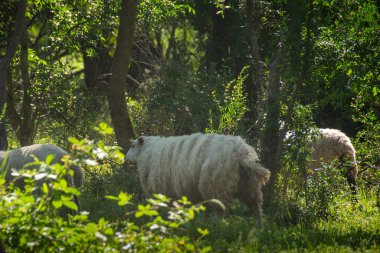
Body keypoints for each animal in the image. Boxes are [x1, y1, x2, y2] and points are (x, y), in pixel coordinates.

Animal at [124, 132, 270, 223]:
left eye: (132, 146)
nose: (125, 158)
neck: (148, 150)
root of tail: (241, 152)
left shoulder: (159, 190)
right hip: (249, 185)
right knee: (257, 208)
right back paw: (259, 228)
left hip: (215, 186)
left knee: (219, 211)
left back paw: (215, 227)